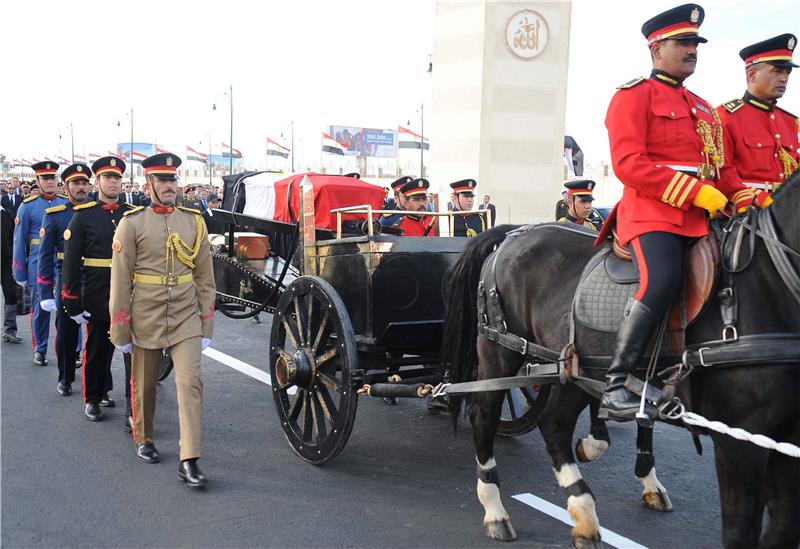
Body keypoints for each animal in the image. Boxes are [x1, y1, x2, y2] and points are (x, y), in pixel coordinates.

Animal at [444, 177, 800, 548]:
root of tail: (515, 233)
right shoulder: (738, 440)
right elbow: (740, 530)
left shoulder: (783, 440)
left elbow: (783, 527)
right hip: (500, 352)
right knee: (484, 416)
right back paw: (495, 509)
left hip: (573, 363)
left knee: (554, 423)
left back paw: (584, 507)